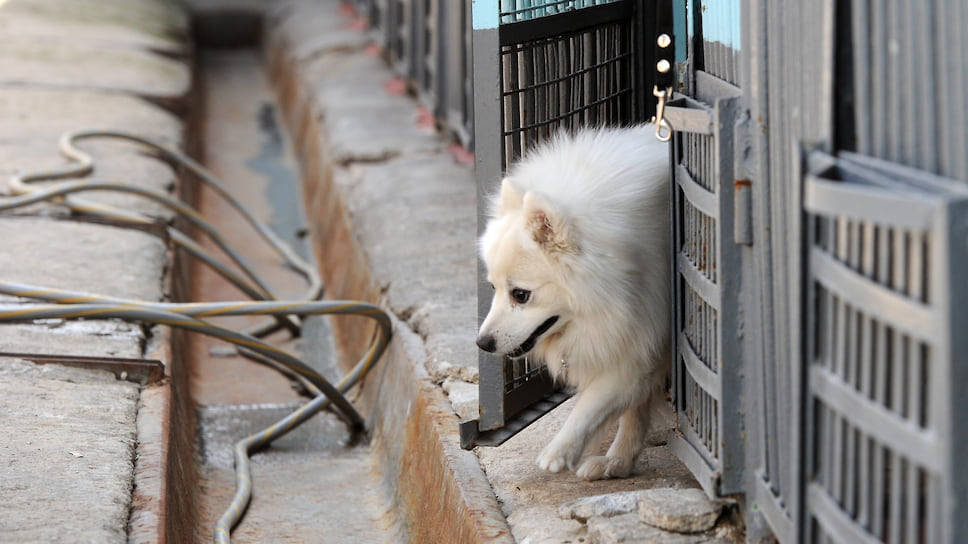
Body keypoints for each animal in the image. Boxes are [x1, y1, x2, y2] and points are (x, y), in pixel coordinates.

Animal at [476, 125, 672, 478]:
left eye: (520, 295)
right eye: (493, 287)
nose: (482, 343)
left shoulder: (645, 326)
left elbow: (594, 401)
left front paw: (560, 450)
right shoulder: (641, 332)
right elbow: (633, 409)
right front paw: (618, 462)